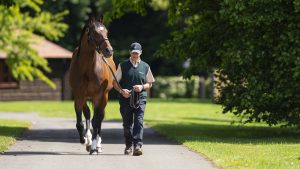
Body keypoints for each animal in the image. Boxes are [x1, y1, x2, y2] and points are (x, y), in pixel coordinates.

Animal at [68, 15, 115, 154]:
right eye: (95, 33)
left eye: (106, 32)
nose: (109, 50)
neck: (87, 69)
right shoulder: (79, 96)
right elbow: (80, 122)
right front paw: (84, 140)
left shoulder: (99, 95)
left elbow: (96, 121)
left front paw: (94, 147)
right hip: (87, 98)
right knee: (88, 114)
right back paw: (88, 140)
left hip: (104, 97)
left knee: (100, 117)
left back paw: (97, 145)